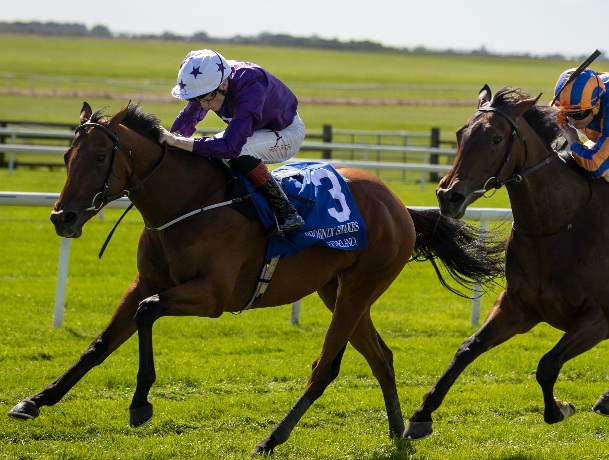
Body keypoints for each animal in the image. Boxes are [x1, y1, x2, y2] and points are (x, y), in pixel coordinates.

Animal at [7, 102, 504, 455]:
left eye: (97, 156)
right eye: (66, 156)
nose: (62, 217)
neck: (187, 202)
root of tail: (400, 206)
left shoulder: (212, 296)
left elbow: (148, 315)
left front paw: (140, 403)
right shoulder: (145, 282)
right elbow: (100, 344)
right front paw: (34, 401)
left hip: (360, 288)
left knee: (325, 368)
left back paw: (272, 437)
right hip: (338, 290)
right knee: (381, 357)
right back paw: (400, 430)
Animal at [404, 85, 609, 441]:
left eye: (496, 139)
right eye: (460, 133)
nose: (448, 196)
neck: (558, 225)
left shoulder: (598, 317)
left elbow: (548, 365)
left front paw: (559, 409)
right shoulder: (518, 307)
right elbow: (468, 347)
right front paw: (421, 414)